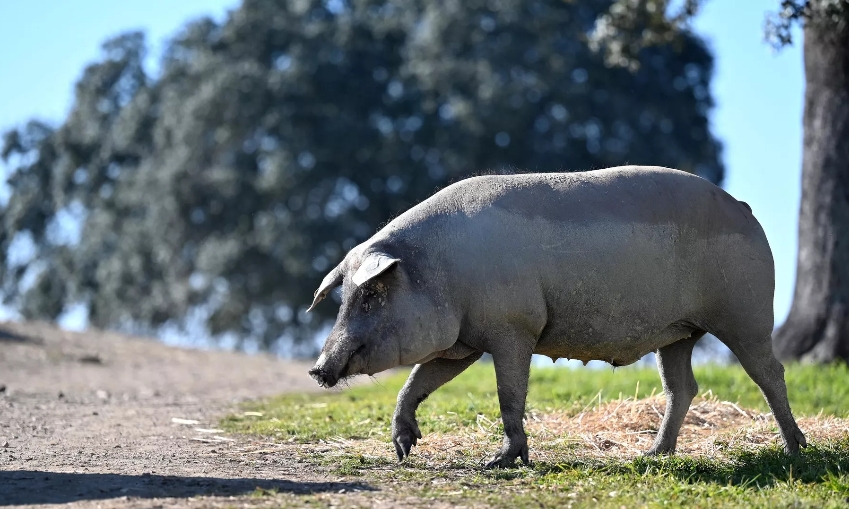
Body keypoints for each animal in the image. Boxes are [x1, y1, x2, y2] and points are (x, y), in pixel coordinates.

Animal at [304, 165, 800, 466]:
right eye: (344, 297)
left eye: (370, 296)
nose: (317, 369)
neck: (443, 270)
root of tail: (744, 208)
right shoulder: (462, 344)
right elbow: (417, 381)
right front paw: (403, 450)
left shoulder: (514, 328)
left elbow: (508, 394)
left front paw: (498, 462)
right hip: (678, 333)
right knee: (683, 387)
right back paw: (651, 456)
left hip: (746, 313)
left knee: (769, 373)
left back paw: (795, 450)